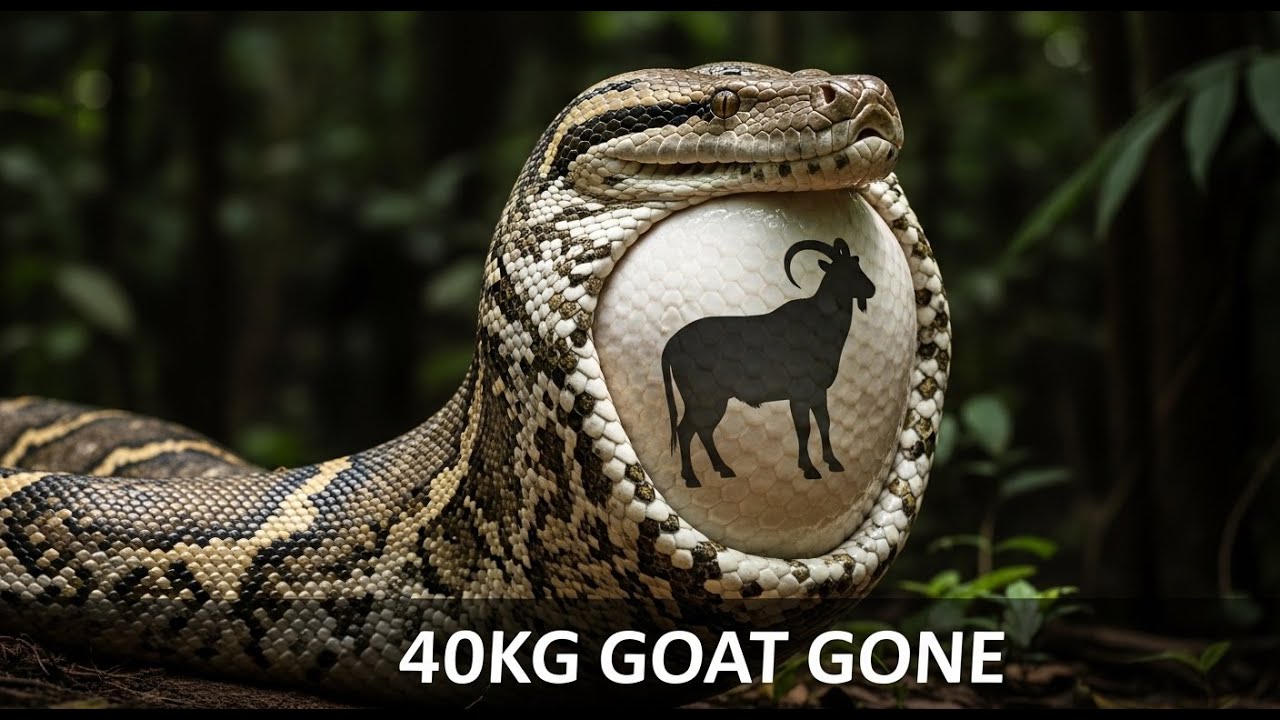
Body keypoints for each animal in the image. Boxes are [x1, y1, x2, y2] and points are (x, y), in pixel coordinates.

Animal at [661, 238, 875, 487]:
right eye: (842, 270)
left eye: (856, 263)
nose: (871, 289)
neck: (820, 322)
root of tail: (670, 345)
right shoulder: (799, 394)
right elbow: (804, 429)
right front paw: (809, 468)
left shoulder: (818, 392)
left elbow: (825, 423)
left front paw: (833, 462)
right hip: (702, 398)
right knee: (686, 430)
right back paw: (693, 478)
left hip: (715, 400)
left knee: (702, 431)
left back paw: (723, 469)